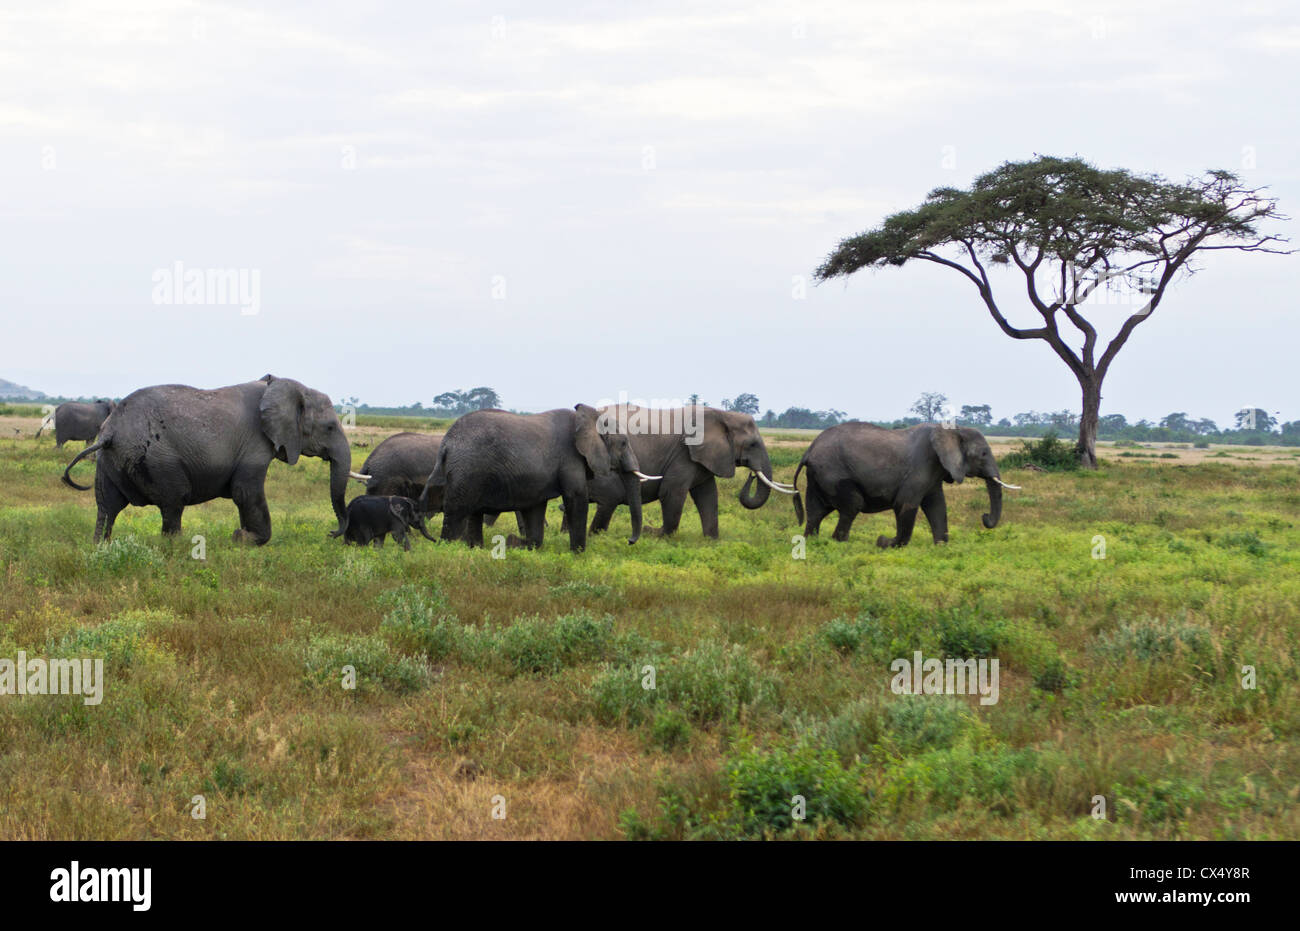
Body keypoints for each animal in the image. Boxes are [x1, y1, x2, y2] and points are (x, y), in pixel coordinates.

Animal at [62, 374, 363, 545]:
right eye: (330, 427)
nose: (331, 534)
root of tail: (110, 430)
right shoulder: (254, 445)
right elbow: (246, 492)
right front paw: (243, 539)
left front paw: (242, 537)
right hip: (157, 459)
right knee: (173, 503)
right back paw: (176, 548)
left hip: (108, 460)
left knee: (108, 506)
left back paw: (100, 547)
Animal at [420, 404, 651, 552]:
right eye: (624, 443)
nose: (630, 541)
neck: (589, 418)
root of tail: (446, 444)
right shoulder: (570, 457)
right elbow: (576, 498)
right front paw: (578, 554)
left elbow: (536, 508)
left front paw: (521, 545)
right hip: (467, 471)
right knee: (457, 513)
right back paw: (447, 549)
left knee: (473, 514)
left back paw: (476, 549)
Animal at [562, 405, 796, 539]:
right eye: (753, 444)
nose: (752, 474)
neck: (722, 415)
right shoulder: (684, 453)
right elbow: (672, 492)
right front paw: (661, 537)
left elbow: (708, 496)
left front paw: (711, 541)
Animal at [791, 422, 1019, 548]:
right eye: (983, 454)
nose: (985, 517)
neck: (952, 429)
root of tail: (808, 450)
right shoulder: (922, 465)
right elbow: (905, 504)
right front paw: (884, 543)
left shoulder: (935, 470)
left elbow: (937, 507)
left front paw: (941, 548)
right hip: (833, 472)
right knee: (852, 505)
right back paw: (839, 545)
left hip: (818, 476)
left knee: (816, 512)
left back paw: (812, 543)